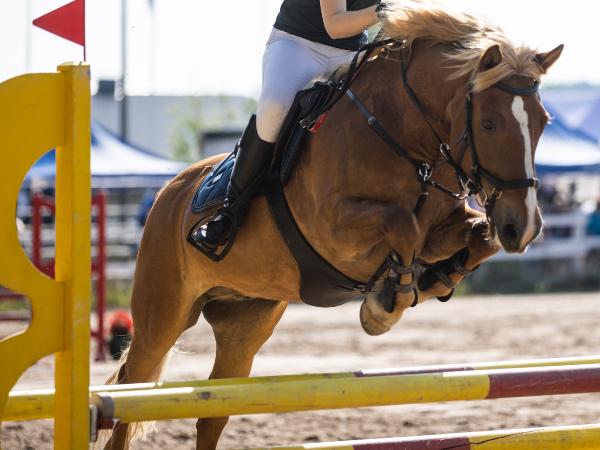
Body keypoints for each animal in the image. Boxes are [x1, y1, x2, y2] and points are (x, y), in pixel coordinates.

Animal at [103, 3, 563, 449]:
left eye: (543, 122)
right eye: (488, 123)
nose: (523, 227)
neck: (402, 133)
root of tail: (169, 191)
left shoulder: (442, 228)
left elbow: (480, 240)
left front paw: (433, 281)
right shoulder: (335, 231)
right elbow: (403, 224)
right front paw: (385, 305)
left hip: (244, 323)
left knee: (212, 412)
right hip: (162, 316)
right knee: (131, 392)